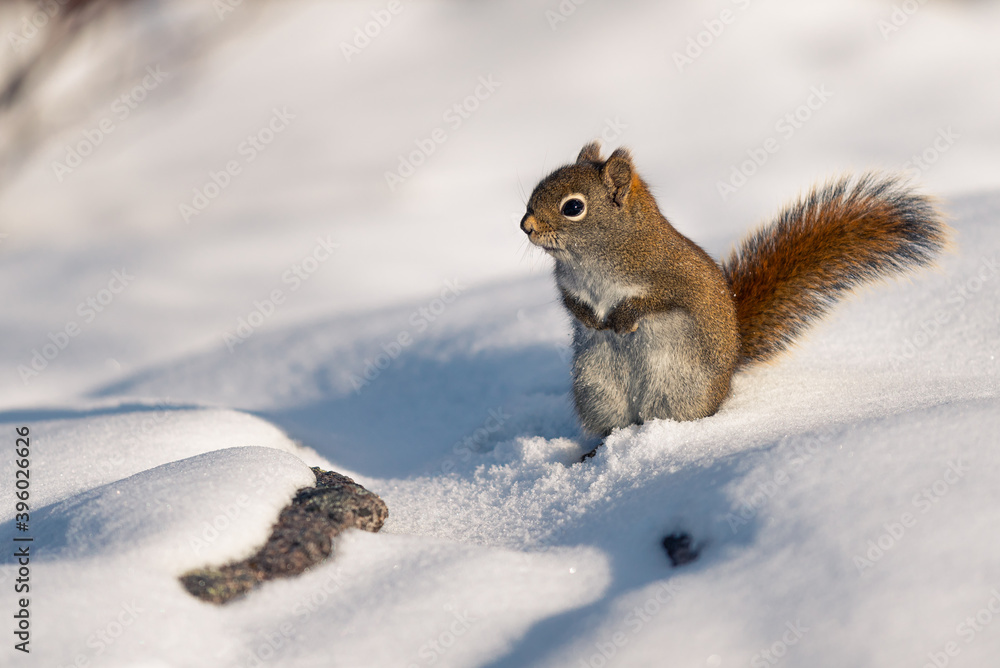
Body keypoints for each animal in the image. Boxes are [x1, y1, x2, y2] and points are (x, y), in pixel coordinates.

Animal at [520, 142, 949, 438]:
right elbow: (572, 303)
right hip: (597, 391)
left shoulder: (672, 278)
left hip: (679, 386)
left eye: (573, 207)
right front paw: (591, 319)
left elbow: (655, 301)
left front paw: (622, 319)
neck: (593, 257)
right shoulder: (567, 284)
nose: (526, 226)